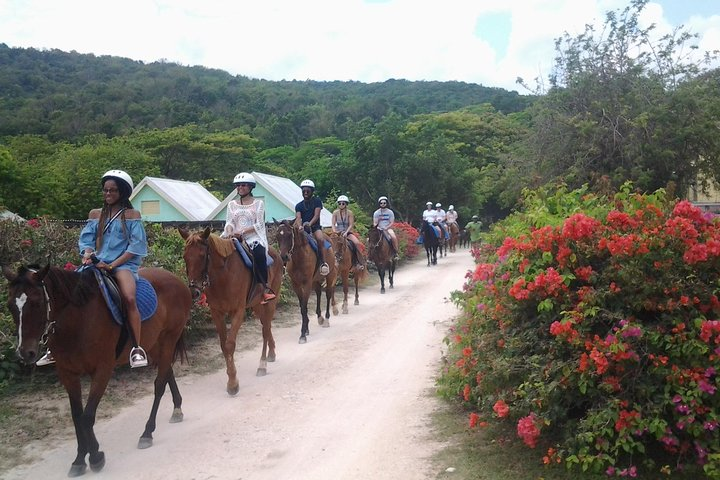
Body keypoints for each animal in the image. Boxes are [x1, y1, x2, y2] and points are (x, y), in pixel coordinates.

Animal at [2, 264, 191, 478]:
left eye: (36, 303)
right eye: (10, 305)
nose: (25, 353)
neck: (79, 320)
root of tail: (176, 279)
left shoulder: (102, 370)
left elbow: (87, 416)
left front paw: (95, 457)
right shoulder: (67, 373)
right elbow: (77, 417)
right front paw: (79, 459)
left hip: (169, 338)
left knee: (159, 384)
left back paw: (147, 432)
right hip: (153, 343)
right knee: (167, 372)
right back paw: (177, 408)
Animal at [179, 227, 282, 396]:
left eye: (202, 256)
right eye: (185, 256)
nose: (193, 292)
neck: (224, 274)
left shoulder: (237, 312)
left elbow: (229, 345)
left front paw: (233, 383)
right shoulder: (216, 313)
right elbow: (223, 345)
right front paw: (231, 379)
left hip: (271, 300)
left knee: (266, 329)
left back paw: (262, 364)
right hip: (256, 304)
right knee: (265, 326)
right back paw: (271, 353)